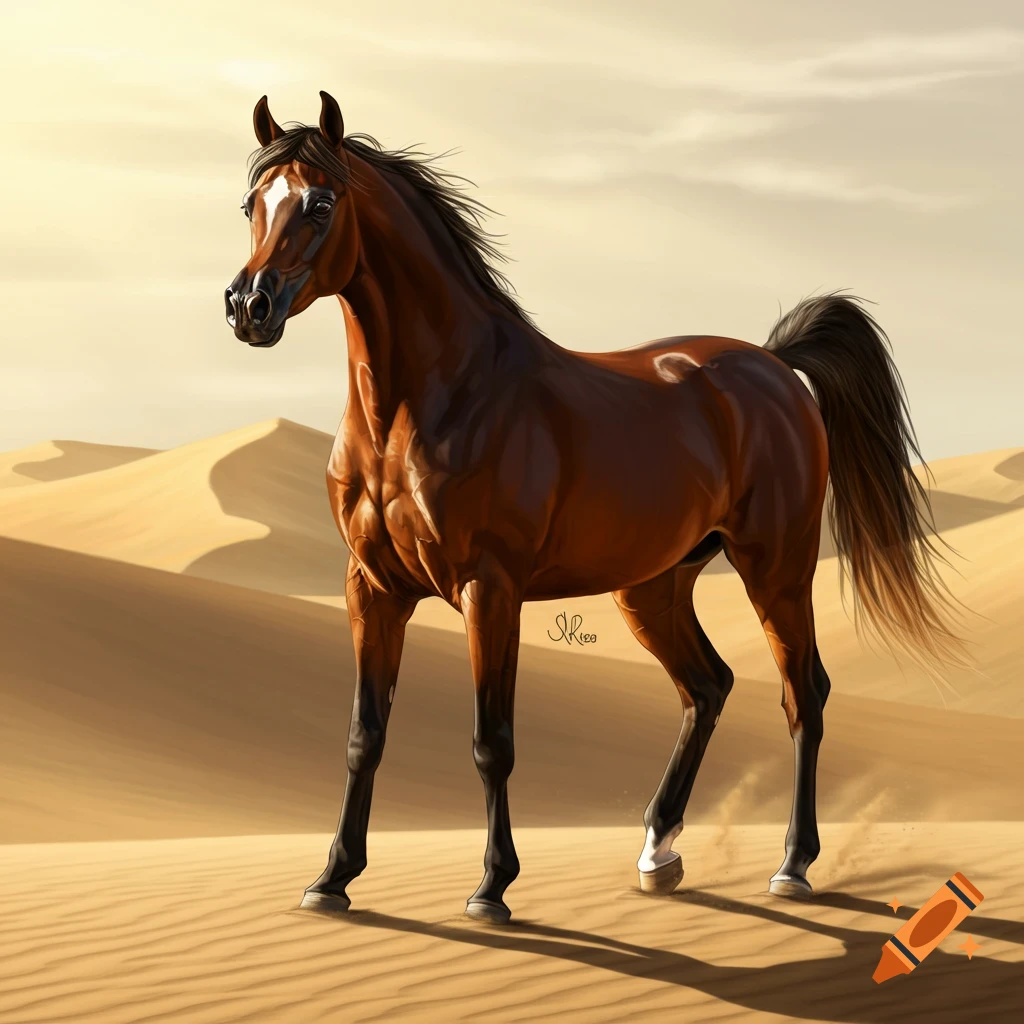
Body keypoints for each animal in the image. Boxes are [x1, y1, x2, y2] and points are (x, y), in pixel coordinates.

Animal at [225, 91, 963, 925]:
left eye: (320, 204)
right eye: (252, 204)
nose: (249, 306)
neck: (435, 399)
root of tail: (774, 365)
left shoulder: (490, 589)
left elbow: (492, 741)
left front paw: (493, 888)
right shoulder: (372, 588)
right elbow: (364, 734)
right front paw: (332, 878)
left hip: (775, 568)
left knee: (802, 693)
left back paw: (794, 866)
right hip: (653, 586)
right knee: (707, 687)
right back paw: (658, 853)